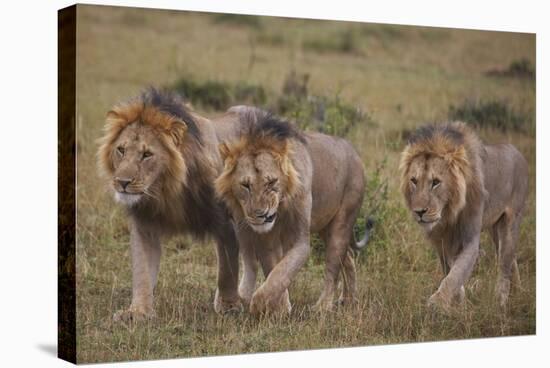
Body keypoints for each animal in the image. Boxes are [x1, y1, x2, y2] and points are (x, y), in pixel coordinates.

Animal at [97, 87, 246, 320]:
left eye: (147, 154)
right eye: (121, 150)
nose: (122, 182)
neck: (166, 190)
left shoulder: (225, 224)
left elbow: (227, 269)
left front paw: (229, 306)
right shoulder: (144, 226)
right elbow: (142, 271)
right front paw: (137, 312)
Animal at [213, 108, 374, 314]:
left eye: (271, 182)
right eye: (245, 185)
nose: (262, 215)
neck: (280, 207)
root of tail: (354, 152)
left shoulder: (300, 241)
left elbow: (281, 273)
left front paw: (260, 305)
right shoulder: (267, 240)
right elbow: (275, 272)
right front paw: (280, 308)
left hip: (343, 220)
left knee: (333, 267)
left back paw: (323, 306)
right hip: (325, 227)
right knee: (349, 257)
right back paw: (349, 300)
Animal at [402, 122, 532, 310]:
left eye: (436, 182)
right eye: (414, 180)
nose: (419, 212)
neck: (448, 213)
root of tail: (518, 152)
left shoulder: (470, 239)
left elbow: (456, 273)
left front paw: (437, 302)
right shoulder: (441, 241)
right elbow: (449, 270)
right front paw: (458, 301)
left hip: (511, 220)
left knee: (505, 261)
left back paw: (501, 300)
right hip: (495, 228)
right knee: (511, 258)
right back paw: (518, 292)